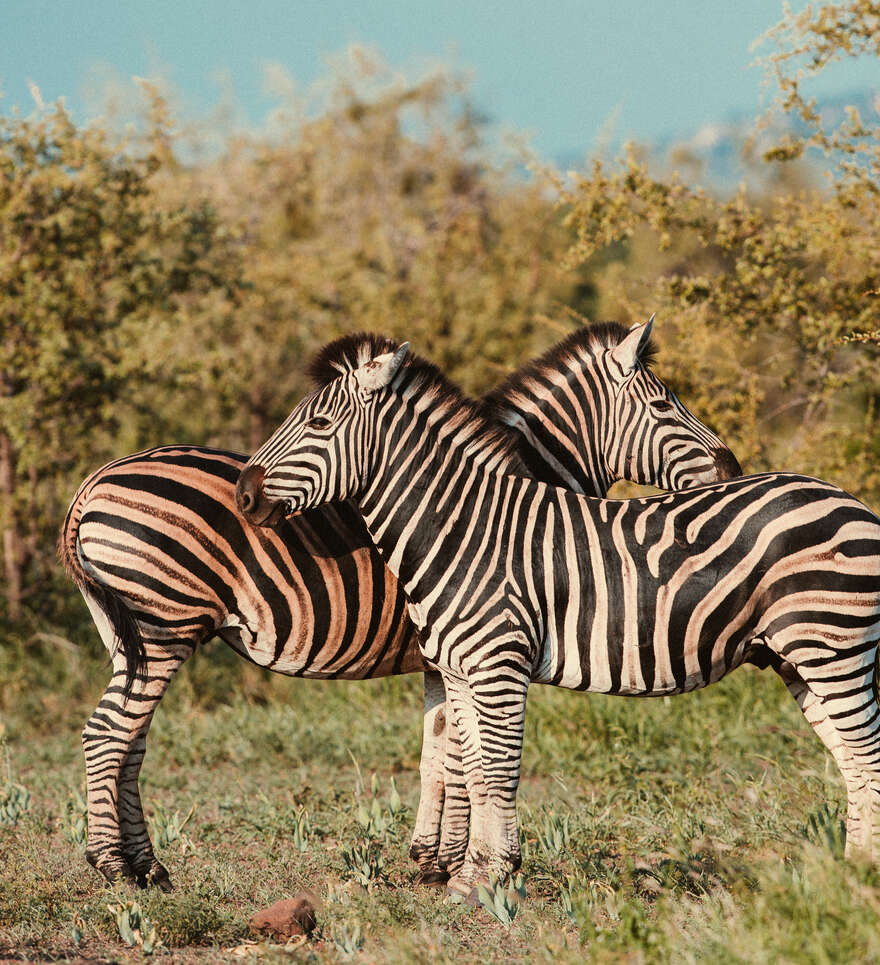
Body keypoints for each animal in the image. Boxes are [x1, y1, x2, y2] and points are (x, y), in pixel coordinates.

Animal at [58, 322, 740, 888]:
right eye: (664, 404)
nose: (731, 464)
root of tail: (93, 481)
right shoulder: (464, 645)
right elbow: (463, 756)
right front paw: (455, 864)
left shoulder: (445, 654)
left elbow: (437, 754)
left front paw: (431, 860)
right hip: (164, 625)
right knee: (109, 734)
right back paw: (114, 867)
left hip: (130, 636)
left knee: (129, 741)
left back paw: (148, 867)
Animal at [237, 338, 880, 896]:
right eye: (662, 404)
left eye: (320, 425)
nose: (244, 495)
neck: (461, 528)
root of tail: (849, 500)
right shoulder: (455, 668)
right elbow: (471, 767)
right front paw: (469, 877)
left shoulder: (497, 664)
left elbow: (495, 768)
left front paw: (492, 877)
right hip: (798, 658)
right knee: (853, 761)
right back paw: (851, 878)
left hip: (833, 647)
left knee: (865, 755)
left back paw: (861, 883)